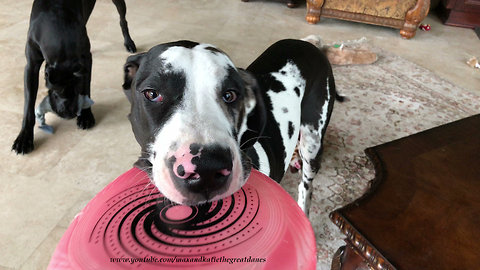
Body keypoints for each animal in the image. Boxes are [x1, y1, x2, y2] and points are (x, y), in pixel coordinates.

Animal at [12, 0, 136, 154]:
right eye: (57, 91)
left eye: (77, 89)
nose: (70, 115)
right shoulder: (31, 65)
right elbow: (28, 105)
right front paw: (24, 138)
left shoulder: (86, 60)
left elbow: (86, 87)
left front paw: (86, 116)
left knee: (122, 20)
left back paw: (129, 42)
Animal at [123, 39, 342, 216]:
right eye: (152, 93)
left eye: (230, 95)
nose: (206, 168)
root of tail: (307, 44)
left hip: (313, 141)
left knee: (307, 185)